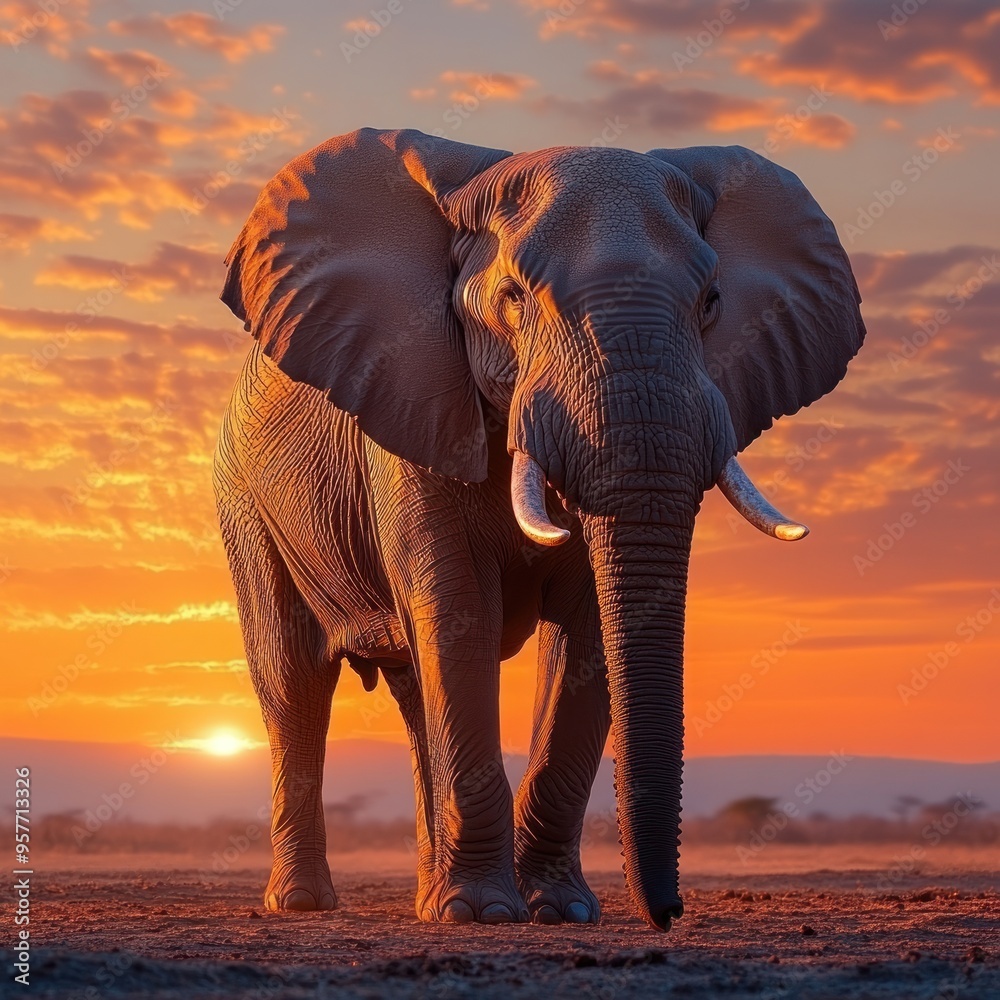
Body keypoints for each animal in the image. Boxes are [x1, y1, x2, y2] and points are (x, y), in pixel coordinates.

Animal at [214, 127, 864, 930]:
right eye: (514, 299)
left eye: (711, 302)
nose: (670, 912)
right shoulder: (416, 406)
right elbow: (459, 614)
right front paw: (484, 915)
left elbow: (586, 633)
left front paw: (560, 911)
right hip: (245, 506)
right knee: (295, 684)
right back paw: (307, 902)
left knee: (412, 694)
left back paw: (429, 897)